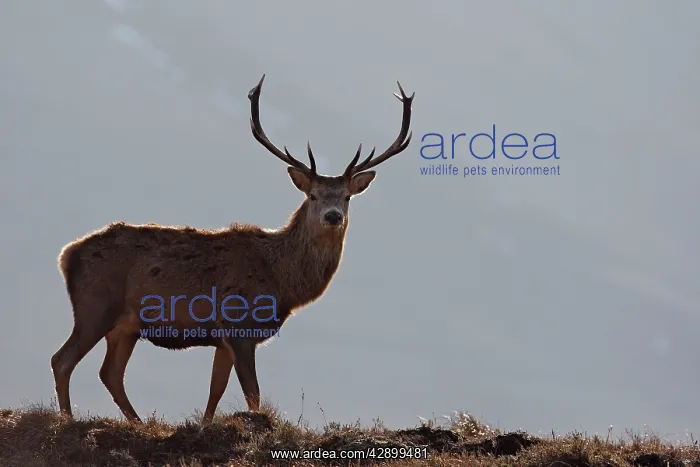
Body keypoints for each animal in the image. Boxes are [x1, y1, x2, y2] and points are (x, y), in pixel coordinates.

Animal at [50, 74, 414, 425]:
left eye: (347, 196)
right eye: (312, 196)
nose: (333, 216)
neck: (282, 281)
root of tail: (67, 254)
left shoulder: (222, 337)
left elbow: (216, 389)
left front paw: (204, 426)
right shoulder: (239, 323)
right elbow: (252, 393)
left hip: (126, 325)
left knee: (109, 372)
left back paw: (137, 422)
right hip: (96, 304)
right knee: (62, 360)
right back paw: (67, 418)